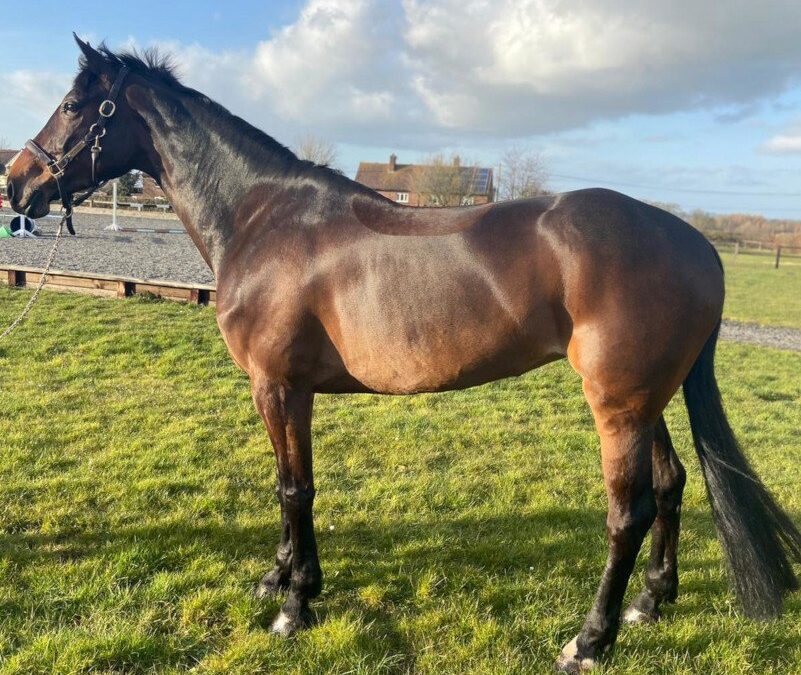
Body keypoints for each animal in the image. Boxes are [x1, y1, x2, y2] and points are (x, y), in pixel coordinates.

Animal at [7, 36, 801, 672]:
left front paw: (294, 606)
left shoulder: (278, 385)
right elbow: (288, 484)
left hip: (618, 404)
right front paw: (279, 579)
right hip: (647, 400)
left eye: (75, 105)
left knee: (626, 512)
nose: (17, 182)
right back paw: (649, 604)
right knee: (669, 486)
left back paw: (590, 639)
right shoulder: (287, 391)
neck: (264, 218)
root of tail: (694, 245)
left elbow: (294, 489)